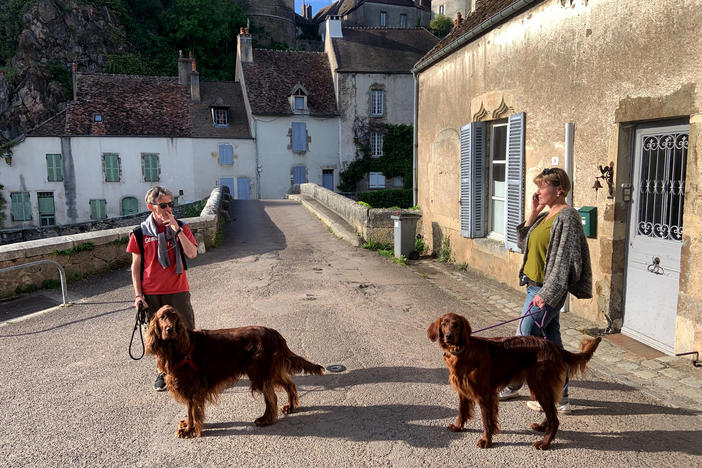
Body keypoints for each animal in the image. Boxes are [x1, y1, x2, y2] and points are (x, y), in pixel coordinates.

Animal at [148, 306, 328, 436]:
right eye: (162, 317)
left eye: (174, 317)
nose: (170, 330)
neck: (175, 349)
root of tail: (274, 333)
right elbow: (190, 410)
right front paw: (187, 425)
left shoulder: (192, 386)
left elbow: (192, 410)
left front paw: (189, 430)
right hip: (270, 371)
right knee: (289, 384)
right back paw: (290, 407)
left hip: (259, 373)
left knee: (272, 398)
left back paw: (265, 420)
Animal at [428, 314, 604, 450]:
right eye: (444, 324)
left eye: (456, 324)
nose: (449, 336)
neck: (462, 350)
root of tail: (555, 347)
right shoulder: (463, 390)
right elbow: (462, 411)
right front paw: (458, 426)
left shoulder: (484, 394)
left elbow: (486, 420)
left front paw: (486, 440)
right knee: (552, 412)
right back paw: (542, 427)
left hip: (540, 386)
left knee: (555, 418)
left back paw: (544, 443)